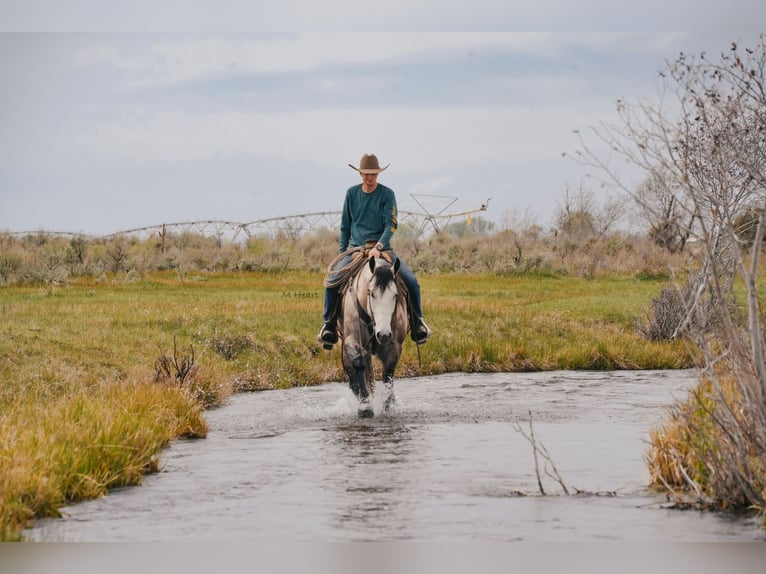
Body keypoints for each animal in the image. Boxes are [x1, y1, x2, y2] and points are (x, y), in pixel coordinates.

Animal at [338, 255, 408, 417]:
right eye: (372, 293)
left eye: (395, 295)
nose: (383, 334)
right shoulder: (351, 341)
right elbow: (358, 364)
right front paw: (365, 406)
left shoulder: (394, 348)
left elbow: (388, 375)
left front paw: (388, 408)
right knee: (353, 372)